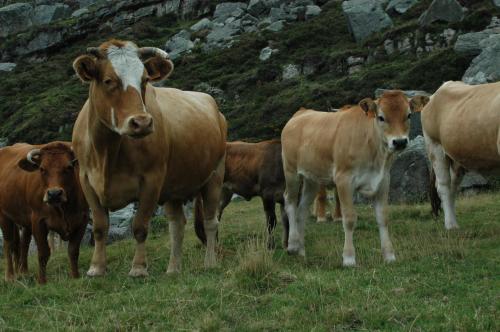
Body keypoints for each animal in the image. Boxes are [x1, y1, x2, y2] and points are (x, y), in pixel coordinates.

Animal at [0, 141, 88, 284]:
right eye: (42, 169)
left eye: (69, 167)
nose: (54, 194)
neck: (63, 210)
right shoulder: (38, 220)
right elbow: (43, 252)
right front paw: (42, 281)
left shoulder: (82, 219)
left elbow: (73, 250)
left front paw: (75, 276)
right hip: (4, 215)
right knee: (9, 243)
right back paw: (10, 276)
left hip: (24, 221)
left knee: (23, 243)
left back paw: (23, 272)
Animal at [71, 39, 226, 278]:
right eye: (108, 80)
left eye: (144, 80)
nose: (142, 123)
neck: (106, 152)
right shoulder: (86, 180)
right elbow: (99, 227)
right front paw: (96, 268)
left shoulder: (152, 180)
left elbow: (140, 226)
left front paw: (138, 268)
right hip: (174, 187)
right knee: (177, 224)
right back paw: (173, 269)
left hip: (215, 175)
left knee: (210, 222)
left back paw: (210, 263)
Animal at [282, 91, 430, 268]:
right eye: (381, 117)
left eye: (408, 115)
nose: (399, 141)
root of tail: (301, 112)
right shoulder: (343, 179)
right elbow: (350, 218)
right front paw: (349, 258)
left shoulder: (383, 180)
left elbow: (383, 217)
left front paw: (389, 255)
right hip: (291, 172)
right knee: (290, 202)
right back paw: (292, 245)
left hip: (312, 179)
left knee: (302, 210)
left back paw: (301, 250)